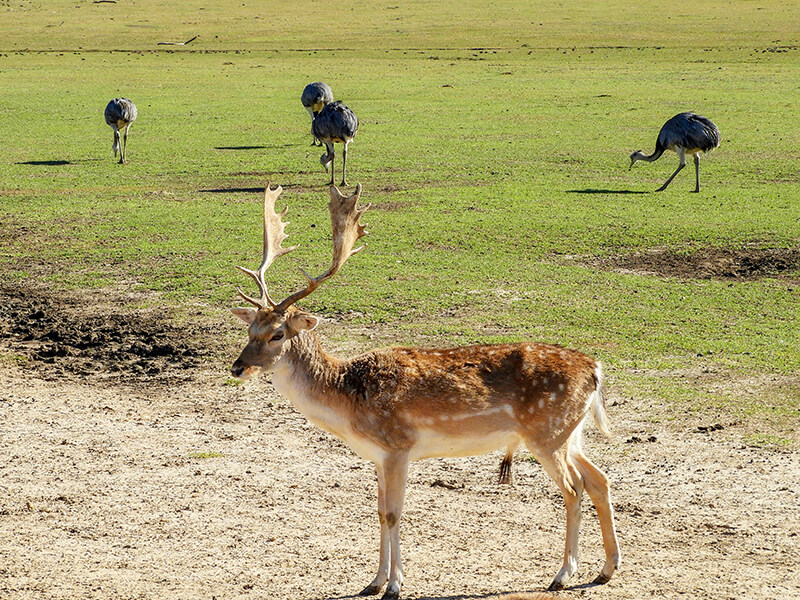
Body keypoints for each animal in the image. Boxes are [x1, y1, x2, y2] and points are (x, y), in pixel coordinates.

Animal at [228, 183, 620, 600]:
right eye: (249, 329)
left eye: (277, 334)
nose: (237, 367)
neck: (347, 400)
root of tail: (595, 368)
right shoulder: (378, 456)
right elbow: (378, 511)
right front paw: (373, 582)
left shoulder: (398, 446)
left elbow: (393, 513)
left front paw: (394, 585)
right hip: (570, 432)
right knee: (599, 479)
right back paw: (607, 569)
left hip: (547, 432)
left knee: (574, 489)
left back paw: (563, 574)